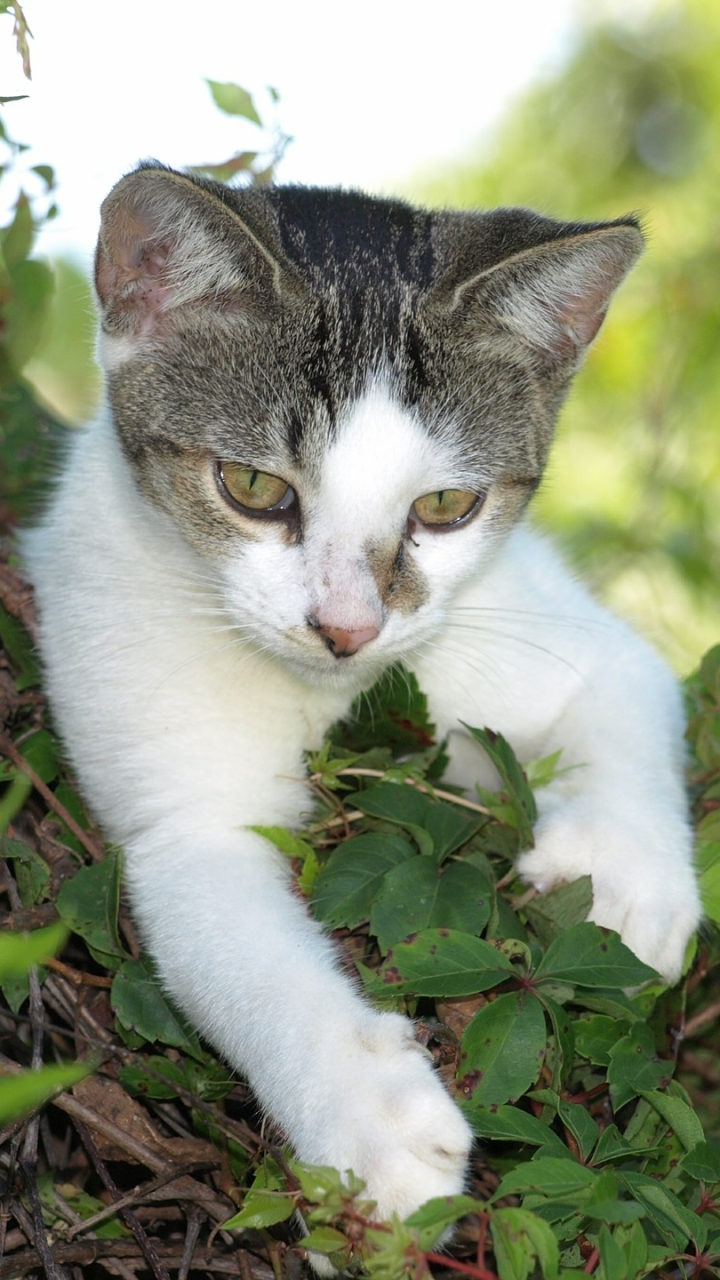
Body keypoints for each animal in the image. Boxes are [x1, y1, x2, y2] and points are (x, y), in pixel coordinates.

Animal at [23, 165, 702, 1223]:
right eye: (253, 485)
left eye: (447, 507)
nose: (346, 629)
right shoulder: (179, 814)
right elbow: (240, 948)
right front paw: (370, 1118)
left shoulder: (553, 627)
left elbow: (631, 687)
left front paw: (626, 880)